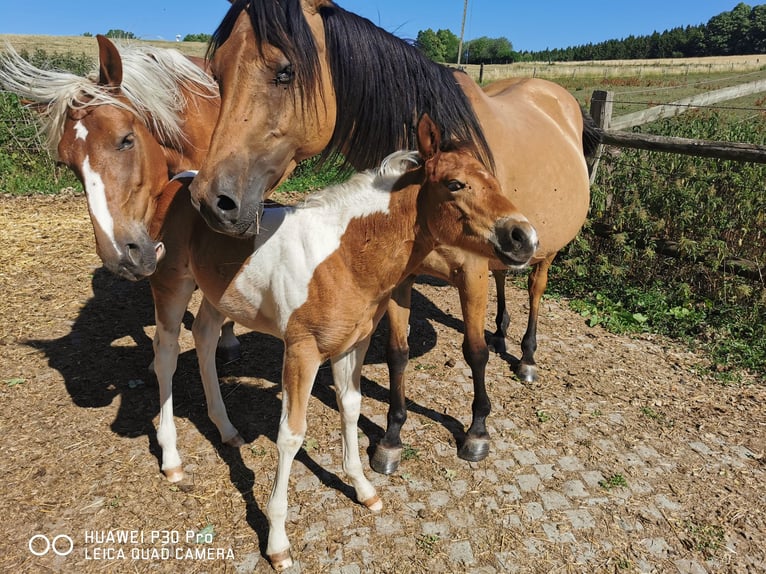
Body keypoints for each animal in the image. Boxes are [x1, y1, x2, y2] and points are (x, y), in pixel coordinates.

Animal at [90, 116, 536, 572]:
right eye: (454, 184)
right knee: (165, 358)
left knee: (205, 338)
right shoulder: (301, 352)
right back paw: (173, 460)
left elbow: (351, 409)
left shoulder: (352, 345)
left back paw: (227, 429)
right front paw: (277, 541)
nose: (524, 236)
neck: (346, 257)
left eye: (494, 181)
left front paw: (363, 488)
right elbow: (290, 435)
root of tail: (177, 181)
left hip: (219, 294)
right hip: (171, 286)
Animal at [189, 0, 604, 474]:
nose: (212, 202)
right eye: (217, 74)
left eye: (285, 71)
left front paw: (477, 430)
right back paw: (503, 332)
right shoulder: (402, 278)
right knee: (505, 279)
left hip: (543, 249)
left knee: (534, 289)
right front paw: (391, 438)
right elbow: (397, 353)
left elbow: (474, 351)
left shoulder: (472, 272)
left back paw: (527, 357)